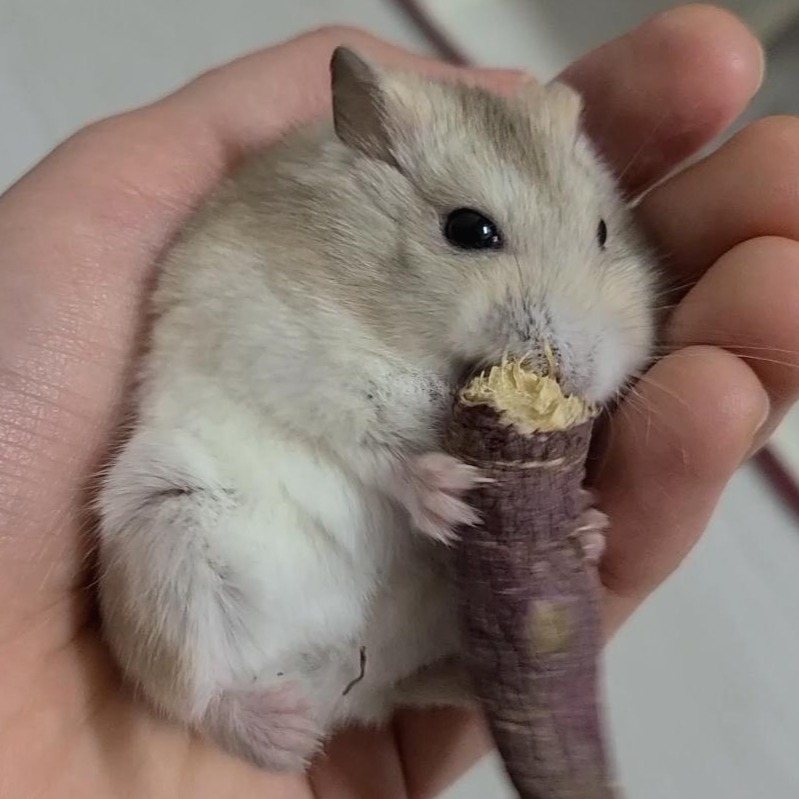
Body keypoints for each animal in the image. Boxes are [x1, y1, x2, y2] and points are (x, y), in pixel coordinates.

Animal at [95, 47, 656, 772]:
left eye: (602, 232)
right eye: (469, 230)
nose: (580, 370)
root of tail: (334, 683)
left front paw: (589, 522)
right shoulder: (301, 361)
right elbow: (374, 444)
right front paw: (450, 493)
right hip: (160, 535)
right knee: (195, 696)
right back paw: (284, 734)